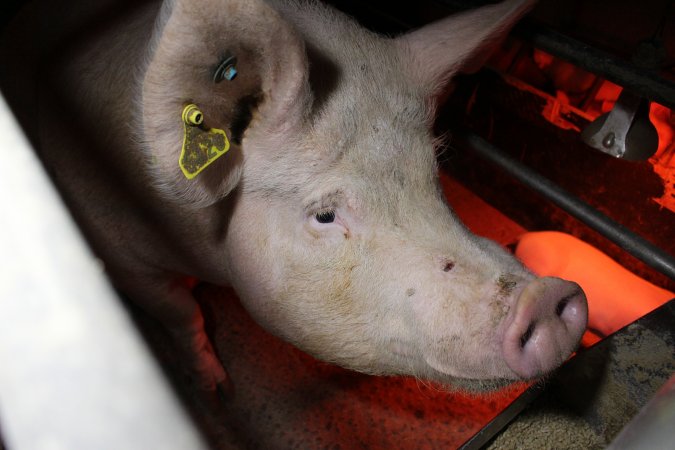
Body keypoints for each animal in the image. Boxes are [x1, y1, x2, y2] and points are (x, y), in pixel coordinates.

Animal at [3, 0, 588, 400]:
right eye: (325, 214)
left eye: (433, 176)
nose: (549, 297)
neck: (209, 255)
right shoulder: (118, 253)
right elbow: (181, 313)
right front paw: (216, 391)